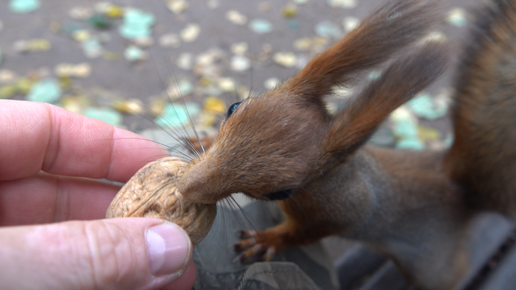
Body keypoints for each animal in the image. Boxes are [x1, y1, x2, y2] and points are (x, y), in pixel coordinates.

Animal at [174, 0, 516, 290]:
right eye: (233, 107)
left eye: (281, 192)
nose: (186, 187)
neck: (321, 182)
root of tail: (457, 189)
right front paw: (203, 138)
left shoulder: (343, 210)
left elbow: (303, 233)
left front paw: (266, 241)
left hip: (430, 267)